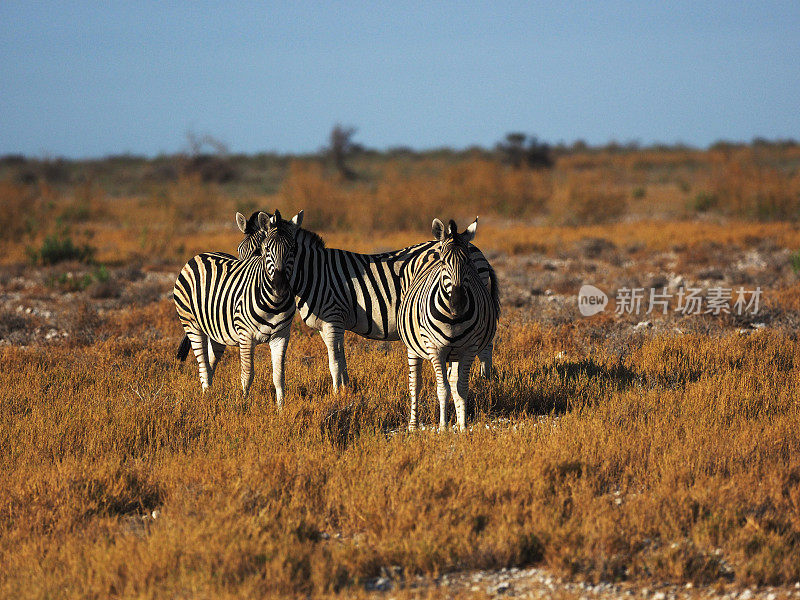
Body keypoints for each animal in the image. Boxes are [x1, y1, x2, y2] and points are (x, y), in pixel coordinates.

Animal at [173, 211, 302, 408]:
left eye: (293, 250)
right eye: (266, 250)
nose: (280, 287)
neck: (274, 303)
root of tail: (200, 255)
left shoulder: (281, 336)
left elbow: (279, 376)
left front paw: (281, 409)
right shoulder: (246, 336)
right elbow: (247, 375)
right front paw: (244, 405)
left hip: (217, 332)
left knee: (210, 363)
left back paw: (210, 395)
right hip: (191, 324)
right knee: (203, 364)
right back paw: (206, 398)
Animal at [227, 212, 494, 394]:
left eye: (260, 251)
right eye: (240, 251)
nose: (243, 284)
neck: (313, 272)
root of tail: (476, 249)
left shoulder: (333, 318)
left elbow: (334, 362)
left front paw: (337, 394)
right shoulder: (328, 326)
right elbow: (341, 358)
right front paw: (346, 390)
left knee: (485, 348)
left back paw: (484, 384)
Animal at [400, 218, 500, 434]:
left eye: (468, 262)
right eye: (443, 262)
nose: (458, 303)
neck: (453, 319)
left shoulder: (469, 348)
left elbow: (460, 386)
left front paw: (462, 426)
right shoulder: (436, 349)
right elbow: (442, 389)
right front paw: (443, 427)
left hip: (456, 352)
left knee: (453, 381)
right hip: (413, 347)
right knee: (415, 383)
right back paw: (413, 425)